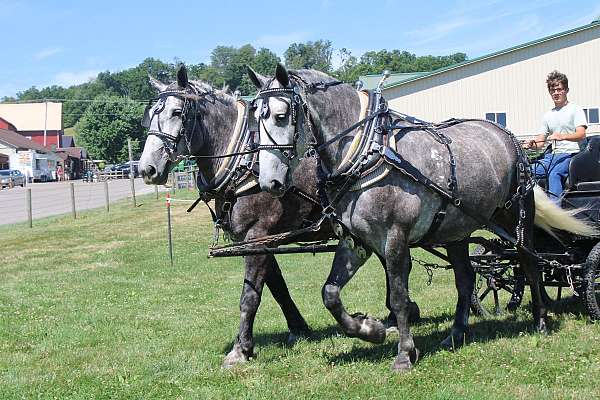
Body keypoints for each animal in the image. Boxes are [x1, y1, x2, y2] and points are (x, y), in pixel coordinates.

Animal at [137, 66, 408, 368]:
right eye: (150, 115)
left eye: (176, 112)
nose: (147, 169)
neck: (244, 164)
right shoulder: (258, 241)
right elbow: (277, 288)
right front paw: (298, 328)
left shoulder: (257, 235)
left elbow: (250, 296)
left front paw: (240, 349)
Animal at [248, 64, 596, 370]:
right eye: (255, 118)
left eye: (281, 115)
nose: (269, 182)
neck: (366, 152)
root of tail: (509, 137)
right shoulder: (356, 240)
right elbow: (330, 294)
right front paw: (370, 329)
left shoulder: (396, 239)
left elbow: (399, 297)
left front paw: (404, 354)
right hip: (456, 232)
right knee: (466, 279)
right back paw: (455, 335)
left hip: (516, 215)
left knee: (529, 264)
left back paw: (540, 321)